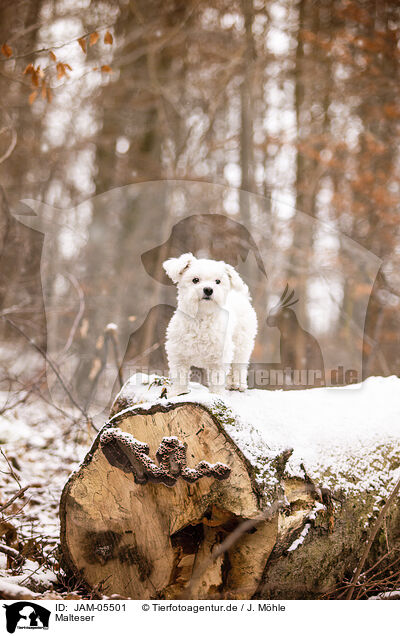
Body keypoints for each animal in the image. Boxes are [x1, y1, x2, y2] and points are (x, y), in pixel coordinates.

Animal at [163, 252, 260, 392]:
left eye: (218, 281)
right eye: (195, 280)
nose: (208, 289)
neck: (201, 318)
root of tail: (241, 295)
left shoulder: (219, 358)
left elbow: (217, 380)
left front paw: (217, 394)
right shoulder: (179, 355)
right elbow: (180, 378)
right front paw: (178, 393)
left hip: (242, 344)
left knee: (239, 366)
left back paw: (239, 384)